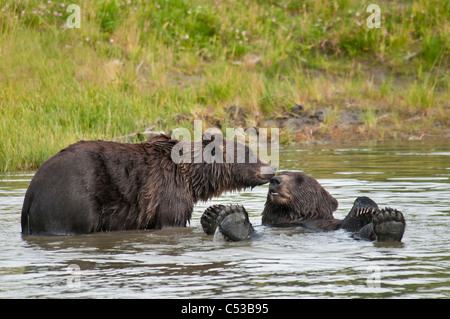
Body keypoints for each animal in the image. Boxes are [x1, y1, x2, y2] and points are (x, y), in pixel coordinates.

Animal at [22, 134, 278, 236]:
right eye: (248, 153)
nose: (271, 169)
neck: (192, 178)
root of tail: (31, 191)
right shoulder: (167, 193)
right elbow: (172, 220)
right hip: (70, 202)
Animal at [202, 172, 406, 242]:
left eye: (299, 179)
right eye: (279, 173)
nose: (275, 181)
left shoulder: (329, 225)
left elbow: (350, 223)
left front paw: (364, 206)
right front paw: (212, 213)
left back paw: (390, 222)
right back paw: (233, 220)